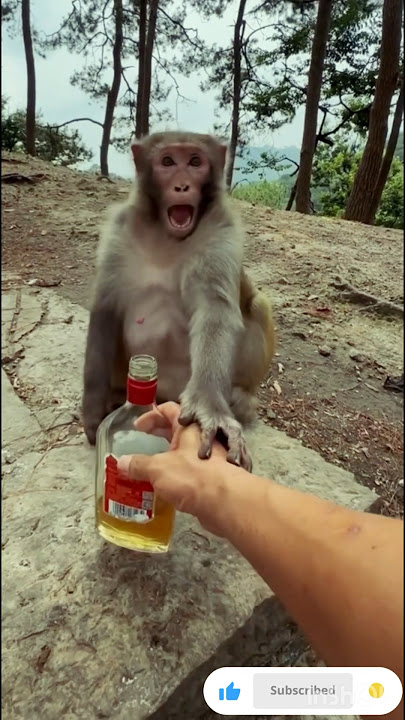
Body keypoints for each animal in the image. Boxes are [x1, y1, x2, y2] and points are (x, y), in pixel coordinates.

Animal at [82, 131, 275, 472]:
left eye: (195, 162)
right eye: (168, 161)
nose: (182, 186)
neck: (166, 236)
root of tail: (166, 395)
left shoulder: (220, 233)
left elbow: (215, 311)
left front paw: (210, 406)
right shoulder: (119, 230)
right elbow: (106, 308)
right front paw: (93, 408)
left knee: (258, 304)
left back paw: (240, 398)